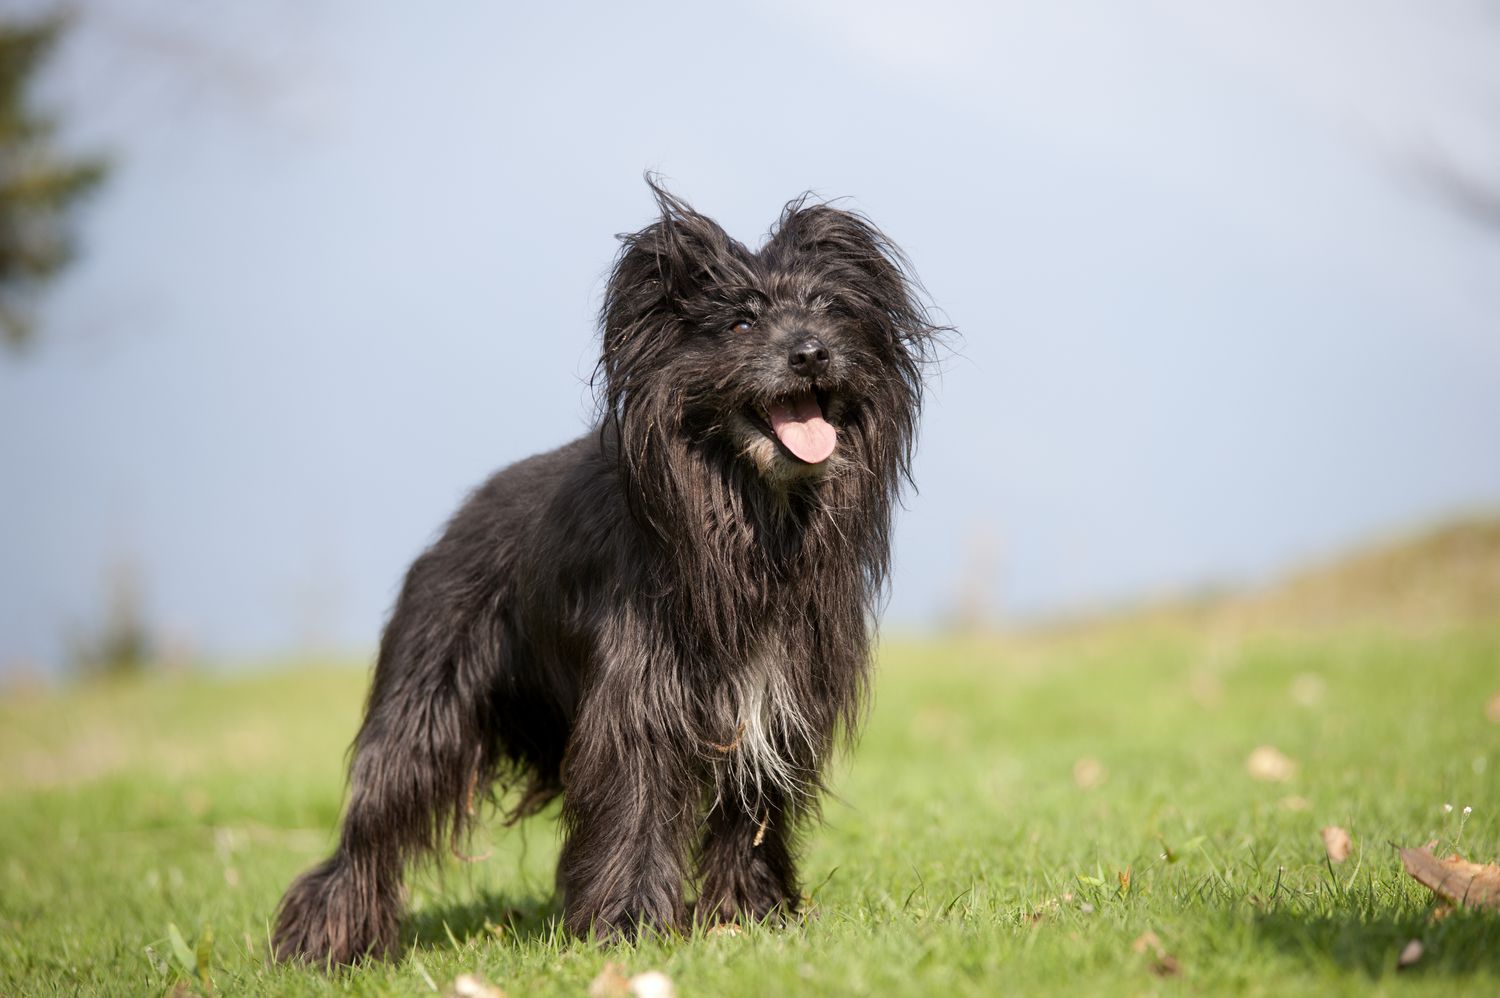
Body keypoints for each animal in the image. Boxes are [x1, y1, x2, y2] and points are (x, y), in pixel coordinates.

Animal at [270, 180, 936, 966]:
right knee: (377, 815)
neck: (748, 517)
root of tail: (455, 523)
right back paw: (326, 940)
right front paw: (629, 928)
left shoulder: (773, 704)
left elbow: (751, 814)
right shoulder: (642, 697)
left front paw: (751, 918)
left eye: (830, 308)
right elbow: (639, 805)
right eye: (741, 321)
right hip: (426, 697)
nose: (811, 352)